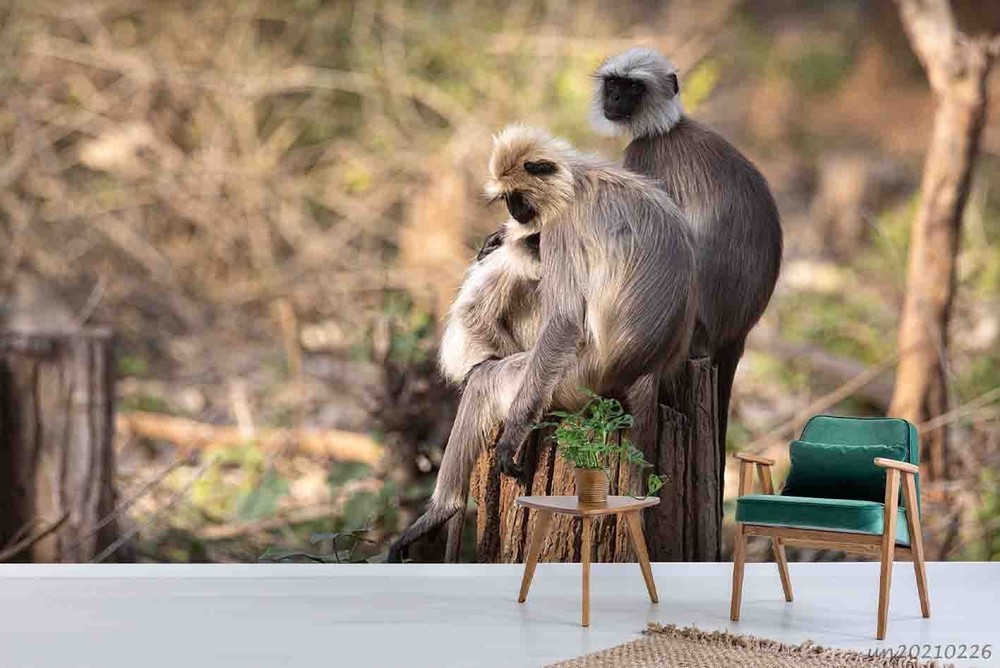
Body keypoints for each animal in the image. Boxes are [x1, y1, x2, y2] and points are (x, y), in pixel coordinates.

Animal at [592, 47, 783, 447]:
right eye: (614, 84)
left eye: (633, 88)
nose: (614, 100)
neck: (664, 128)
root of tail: (740, 332)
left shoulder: (643, 156)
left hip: (693, 326)